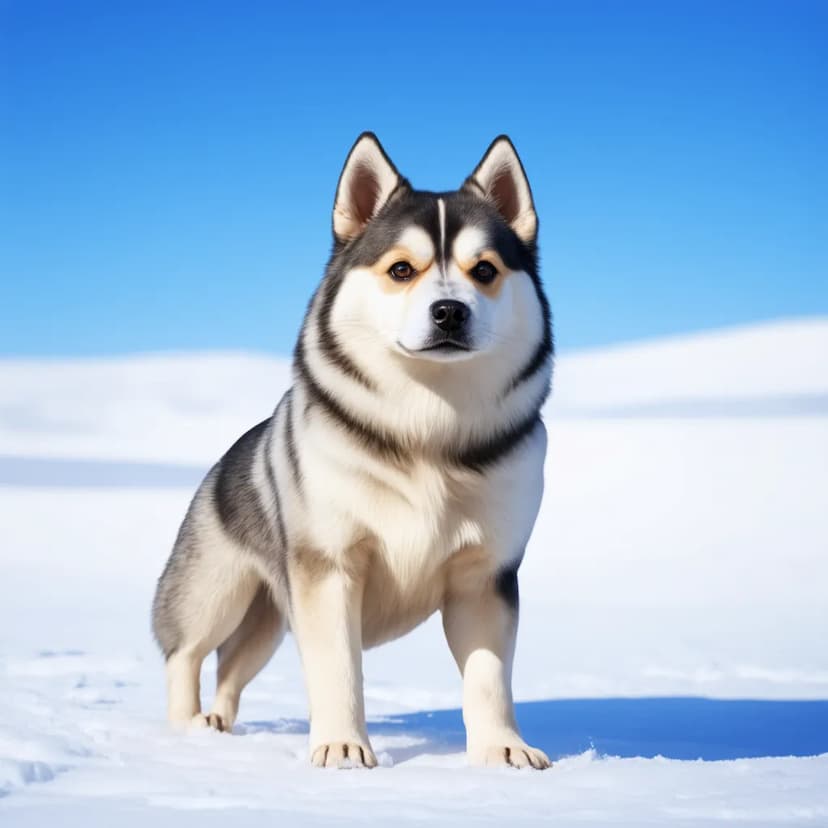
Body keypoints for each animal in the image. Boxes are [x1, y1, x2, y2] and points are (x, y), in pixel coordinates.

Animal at [155, 131, 556, 768]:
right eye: (401, 269)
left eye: (485, 270)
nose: (450, 310)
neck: (426, 432)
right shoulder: (331, 565)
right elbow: (338, 668)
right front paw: (342, 748)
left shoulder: (485, 575)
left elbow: (489, 678)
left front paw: (504, 751)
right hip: (215, 591)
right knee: (186, 654)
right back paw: (185, 731)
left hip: (268, 618)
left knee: (232, 668)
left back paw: (217, 721)